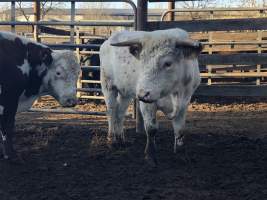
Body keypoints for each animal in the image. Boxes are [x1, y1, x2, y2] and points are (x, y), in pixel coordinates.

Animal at [0, 32, 80, 160]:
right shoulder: (8, 101)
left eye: (78, 73)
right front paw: (10, 155)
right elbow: (7, 128)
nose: (71, 100)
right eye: (58, 72)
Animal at [100, 28, 203, 166]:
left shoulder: (184, 102)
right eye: (141, 61)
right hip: (108, 85)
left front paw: (182, 155)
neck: (174, 91)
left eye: (168, 63)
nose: (142, 93)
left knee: (120, 113)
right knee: (111, 112)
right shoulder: (147, 103)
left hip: (126, 93)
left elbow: (180, 130)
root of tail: (108, 40)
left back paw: (120, 139)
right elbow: (151, 128)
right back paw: (112, 140)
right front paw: (150, 155)